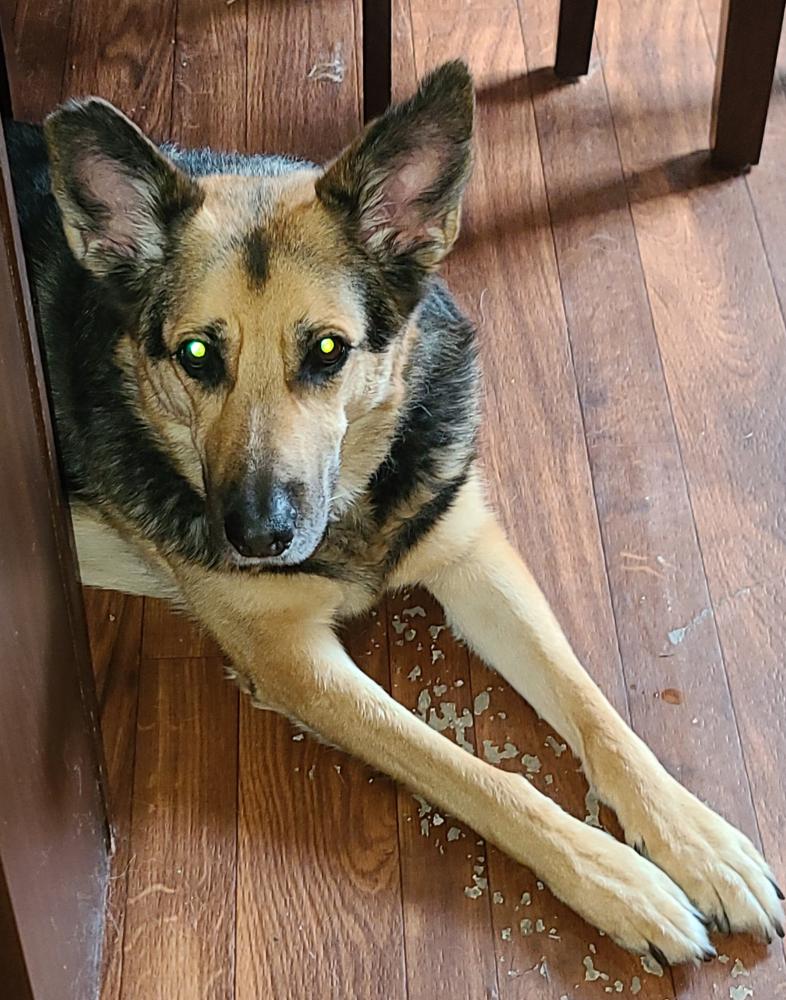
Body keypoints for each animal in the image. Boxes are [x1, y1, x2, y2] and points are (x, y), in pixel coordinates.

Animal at [8, 60, 783, 964]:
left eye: (328, 351)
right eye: (197, 354)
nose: (257, 537)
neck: (354, 503)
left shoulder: (473, 556)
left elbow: (595, 712)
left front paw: (695, 839)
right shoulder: (296, 662)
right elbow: (474, 774)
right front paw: (617, 879)